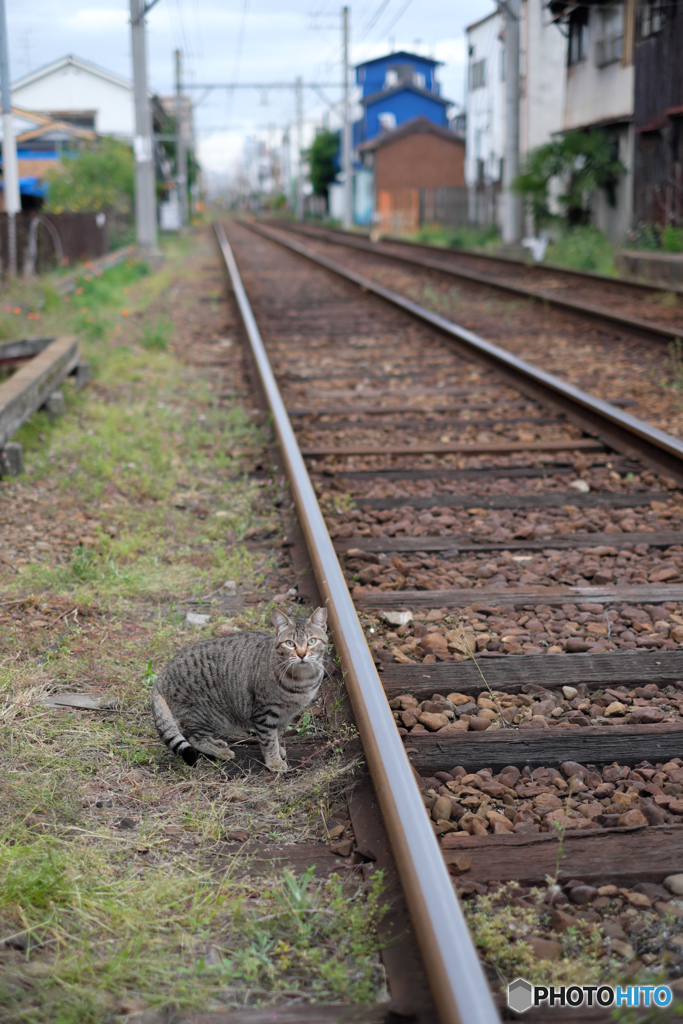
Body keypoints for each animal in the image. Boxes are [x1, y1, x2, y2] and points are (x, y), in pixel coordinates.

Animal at [152, 606, 327, 770]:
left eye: (312, 641)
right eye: (290, 643)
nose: (302, 654)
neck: (302, 680)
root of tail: (162, 676)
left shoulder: (286, 715)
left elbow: (278, 734)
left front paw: (278, 751)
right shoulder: (265, 713)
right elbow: (269, 740)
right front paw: (274, 762)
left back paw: (216, 743)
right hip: (210, 714)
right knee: (193, 738)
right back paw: (220, 752)